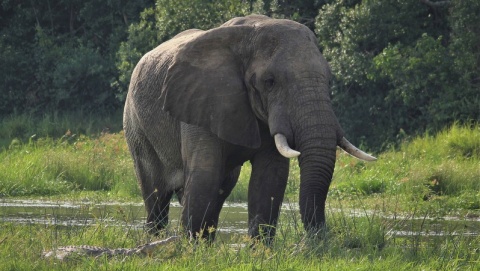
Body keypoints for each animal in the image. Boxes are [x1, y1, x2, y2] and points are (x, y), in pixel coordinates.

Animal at [123, 14, 376, 242]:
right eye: (269, 82)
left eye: (329, 79)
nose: (317, 239)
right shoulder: (201, 101)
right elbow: (205, 174)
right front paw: (190, 249)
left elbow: (270, 177)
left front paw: (260, 250)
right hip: (135, 126)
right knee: (156, 194)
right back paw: (156, 241)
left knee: (220, 188)